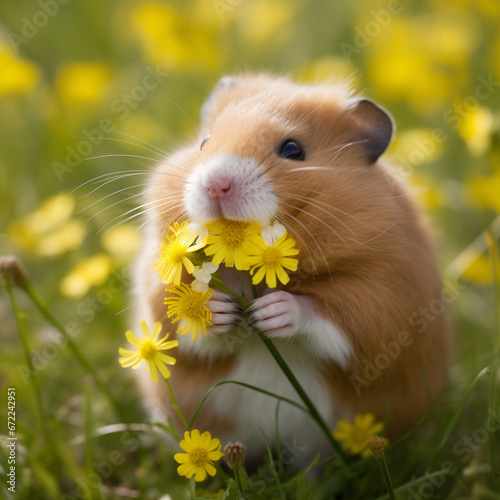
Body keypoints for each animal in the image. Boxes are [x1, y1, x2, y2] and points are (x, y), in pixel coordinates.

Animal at [133, 73, 454, 464]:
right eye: (203, 142)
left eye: (293, 150)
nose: (216, 185)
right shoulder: (158, 289)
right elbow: (183, 322)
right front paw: (224, 310)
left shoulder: (383, 295)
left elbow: (326, 314)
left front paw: (267, 312)